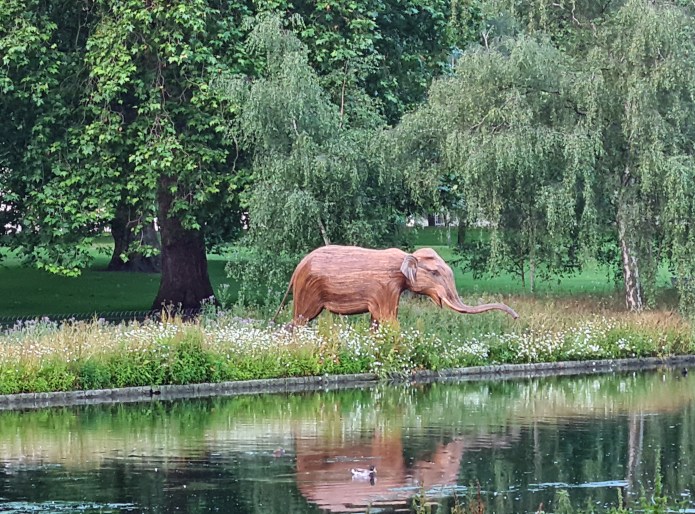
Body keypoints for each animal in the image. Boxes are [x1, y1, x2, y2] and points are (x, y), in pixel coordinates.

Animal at [273, 245, 518, 326]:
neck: (406, 256)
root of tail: (297, 268)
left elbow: (376, 320)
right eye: (435, 272)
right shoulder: (385, 286)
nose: (516, 317)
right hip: (308, 289)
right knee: (301, 319)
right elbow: (388, 318)